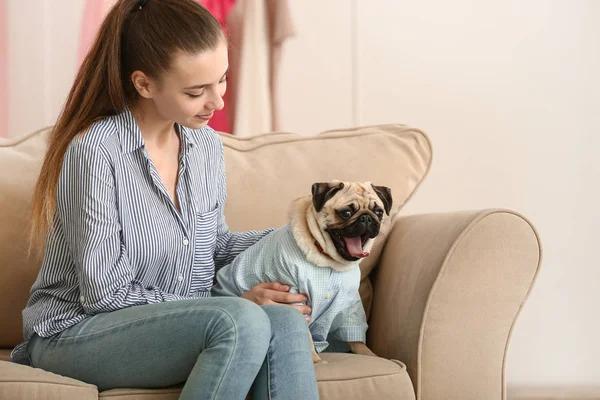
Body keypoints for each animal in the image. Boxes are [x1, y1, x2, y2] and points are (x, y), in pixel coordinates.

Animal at [212, 180, 394, 360]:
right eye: (346, 212)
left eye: (378, 212)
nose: (367, 218)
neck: (329, 261)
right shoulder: (294, 294)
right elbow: (305, 333)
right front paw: (315, 359)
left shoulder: (350, 302)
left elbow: (354, 334)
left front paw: (368, 354)